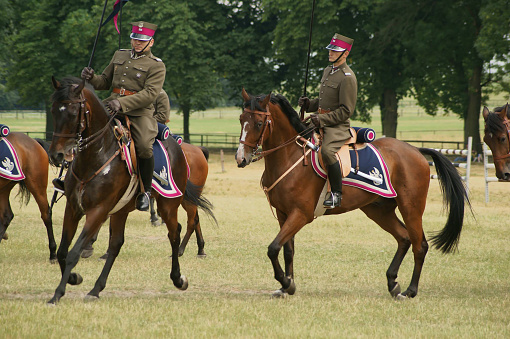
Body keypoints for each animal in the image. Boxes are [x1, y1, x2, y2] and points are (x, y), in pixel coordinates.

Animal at [0, 132, 56, 262]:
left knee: (46, 214)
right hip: (5, 187)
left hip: (37, 184)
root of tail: (33, 140)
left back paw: (53, 253)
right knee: (6, 216)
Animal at [237, 90, 472, 300]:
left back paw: (410, 290)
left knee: (419, 245)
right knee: (404, 238)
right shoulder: (283, 214)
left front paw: (286, 282)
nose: (241, 158)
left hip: (411, 208)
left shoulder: (301, 214)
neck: (291, 156)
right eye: (241, 120)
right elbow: (287, 250)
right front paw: (287, 286)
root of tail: (415, 150)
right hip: (379, 211)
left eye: (259, 123)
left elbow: (273, 248)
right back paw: (392, 282)